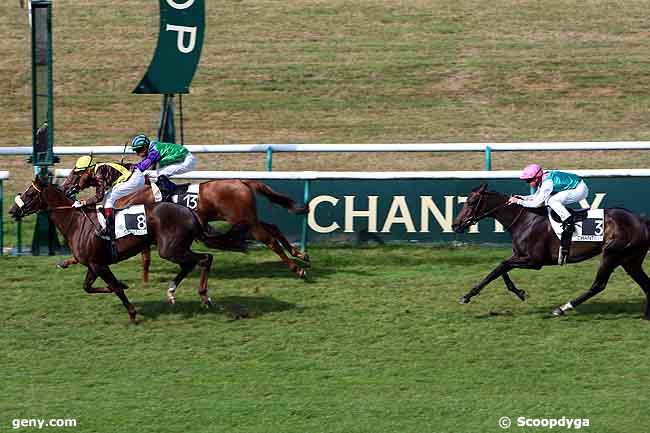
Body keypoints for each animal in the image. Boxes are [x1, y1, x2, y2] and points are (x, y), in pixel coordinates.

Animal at [8, 176, 240, 320]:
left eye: (30, 194)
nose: (11, 211)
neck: (76, 222)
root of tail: (191, 212)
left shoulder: (98, 265)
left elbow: (114, 288)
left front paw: (132, 313)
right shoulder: (93, 265)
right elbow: (89, 287)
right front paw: (122, 284)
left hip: (170, 249)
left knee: (204, 259)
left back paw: (204, 297)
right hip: (174, 249)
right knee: (194, 262)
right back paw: (172, 292)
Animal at [61, 172, 312, 280]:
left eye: (76, 172)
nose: (64, 187)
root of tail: (241, 180)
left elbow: (143, 255)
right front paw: (67, 261)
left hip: (246, 221)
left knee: (269, 239)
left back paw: (297, 268)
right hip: (246, 220)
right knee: (273, 227)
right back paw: (300, 254)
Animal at [450, 182, 648, 318]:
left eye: (471, 202)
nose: (455, 225)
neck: (525, 220)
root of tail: (641, 220)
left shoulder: (534, 261)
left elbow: (500, 266)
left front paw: (467, 296)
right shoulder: (519, 255)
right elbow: (501, 268)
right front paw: (519, 292)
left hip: (611, 254)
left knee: (598, 285)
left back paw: (562, 308)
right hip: (630, 260)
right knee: (646, 283)